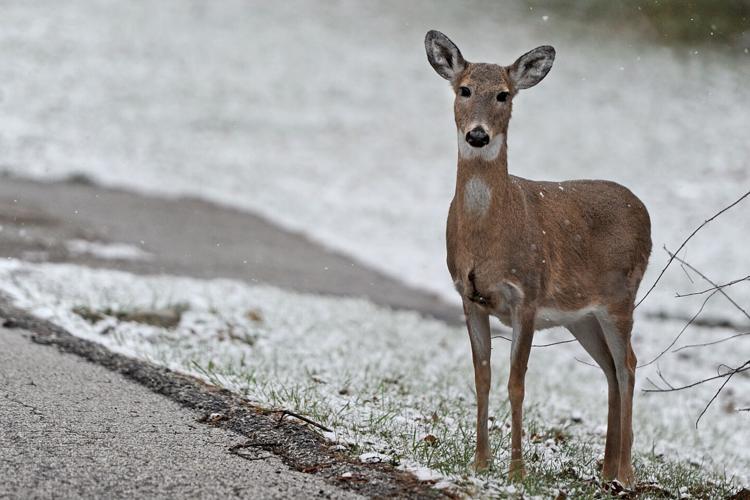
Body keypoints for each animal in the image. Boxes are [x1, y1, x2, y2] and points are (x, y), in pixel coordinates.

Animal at [424, 30, 652, 487]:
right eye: (464, 89)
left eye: (504, 95)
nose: (478, 136)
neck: (488, 238)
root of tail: (646, 214)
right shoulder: (468, 297)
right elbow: (482, 378)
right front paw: (479, 463)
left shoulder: (526, 295)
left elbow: (517, 383)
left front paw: (516, 471)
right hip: (583, 316)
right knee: (609, 370)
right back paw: (605, 470)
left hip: (621, 297)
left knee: (629, 365)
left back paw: (625, 474)